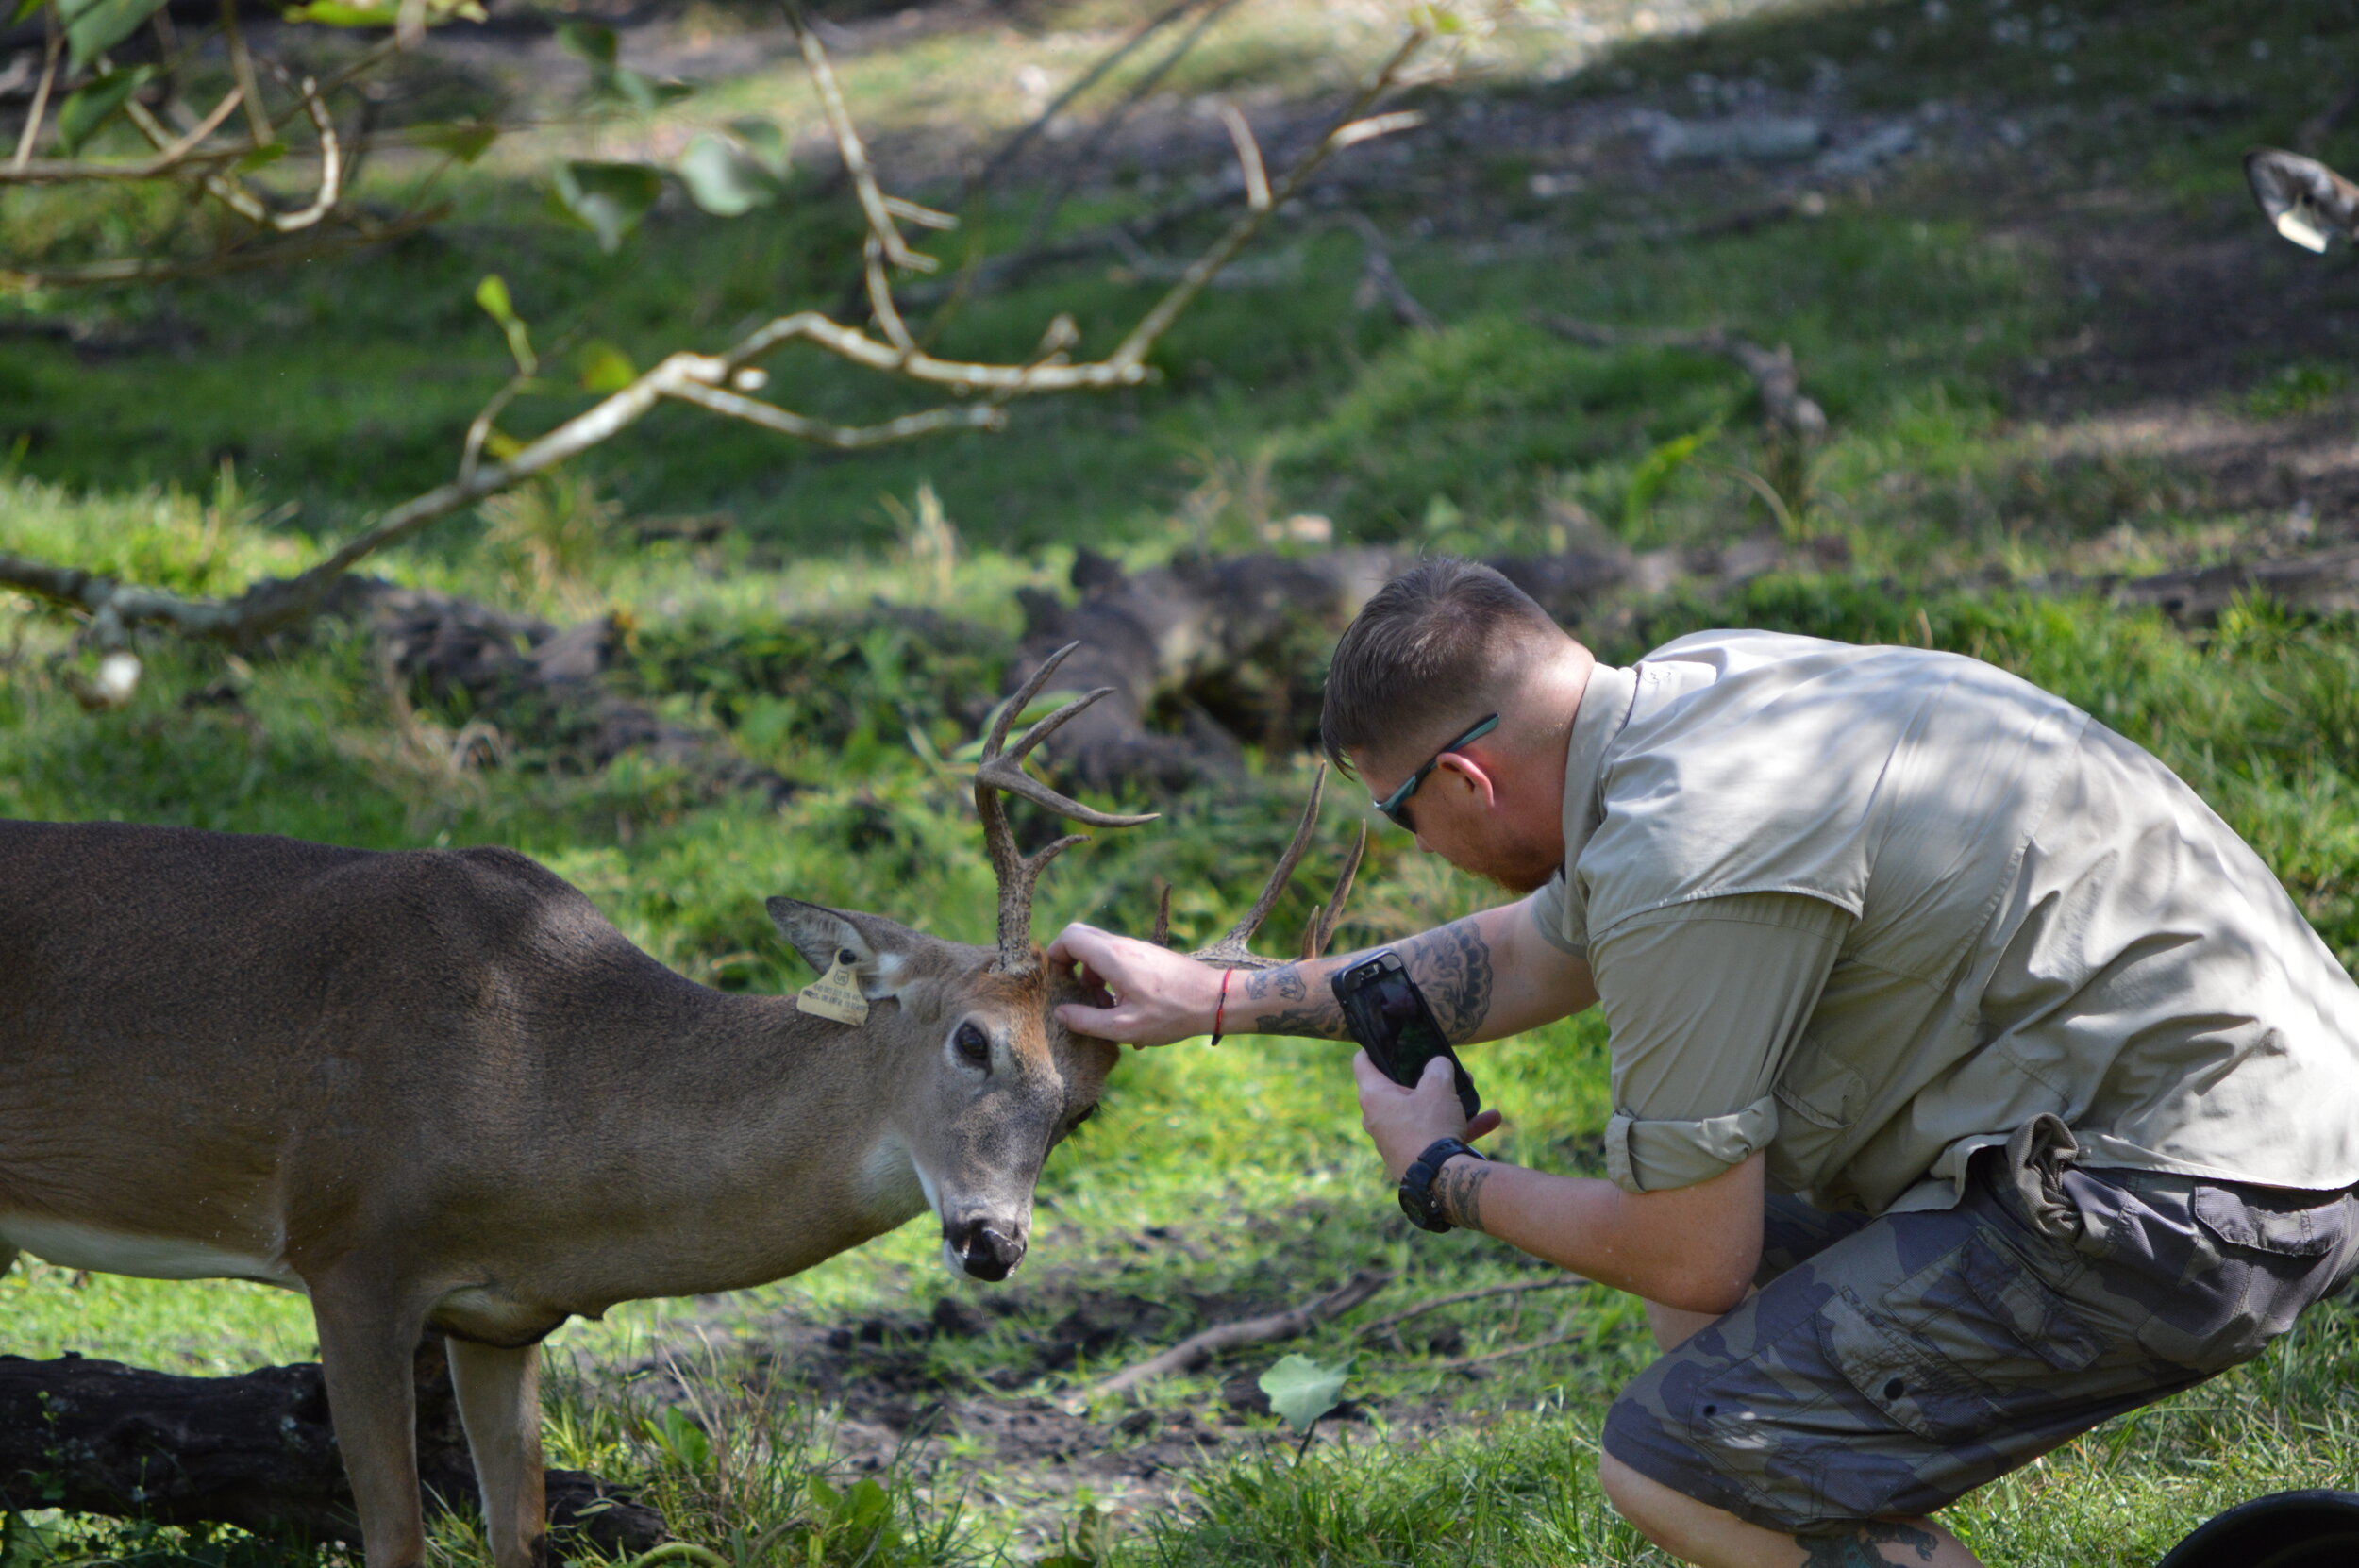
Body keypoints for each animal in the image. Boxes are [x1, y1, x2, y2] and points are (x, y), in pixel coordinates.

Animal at [0, 641, 1359, 1565]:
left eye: (1082, 1108)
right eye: (972, 1039)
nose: (993, 1240)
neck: (535, 1070)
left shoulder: (501, 1313)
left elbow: (518, 1531)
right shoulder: (352, 1252)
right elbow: (393, 1537)